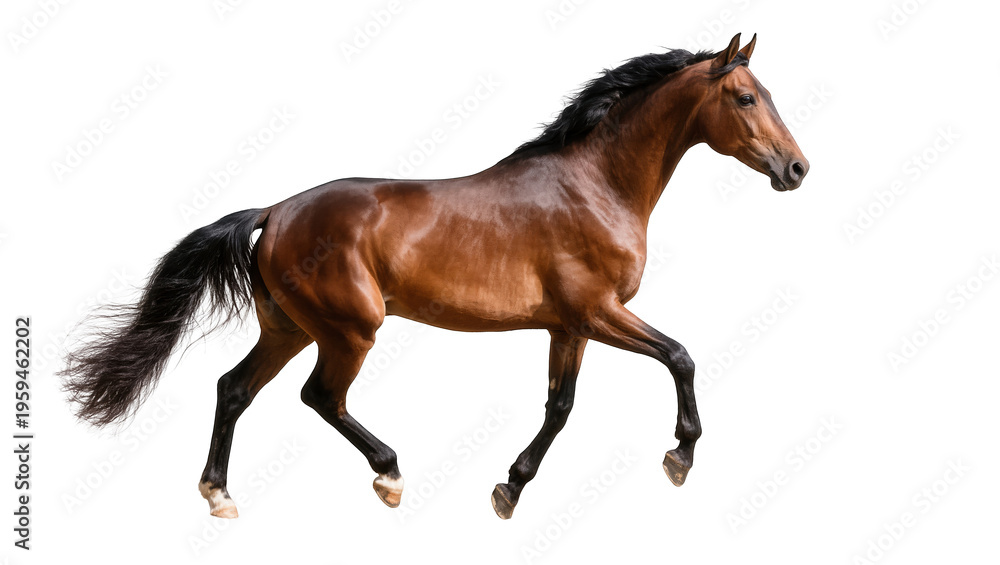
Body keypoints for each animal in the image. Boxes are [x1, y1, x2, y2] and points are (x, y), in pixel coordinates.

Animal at [61, 33, 808, 520]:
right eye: (745, 98)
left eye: (767, 93)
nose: (797, 168)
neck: (597, 184)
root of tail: (274, 212)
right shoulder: (597, 311)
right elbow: (680, 355)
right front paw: (680, 456)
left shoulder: (568, 326)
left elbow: (560, 406)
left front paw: (510, 489)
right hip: (349, 330)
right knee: (318, 397)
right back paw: (389, 475)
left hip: (291, 329)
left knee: (234, 388)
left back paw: (219, 494)